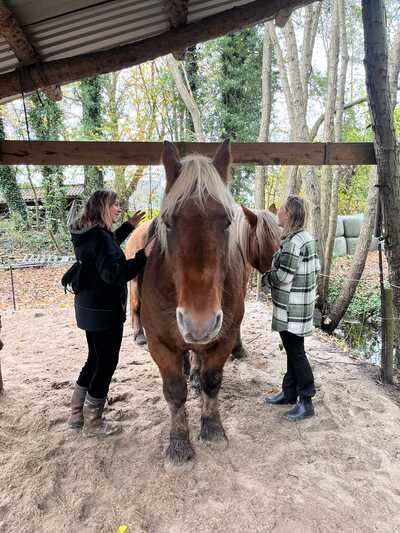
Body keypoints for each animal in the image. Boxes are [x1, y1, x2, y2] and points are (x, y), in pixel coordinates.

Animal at [131, 140, 278, 462]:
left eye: (227, 221)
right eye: (168, 222)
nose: (199, 322)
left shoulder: (222, 336)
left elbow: (212, 380)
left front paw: (212, 428)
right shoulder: (161, 344)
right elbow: (174, 391)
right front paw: (179, 443)